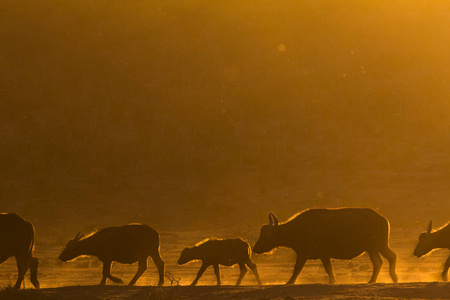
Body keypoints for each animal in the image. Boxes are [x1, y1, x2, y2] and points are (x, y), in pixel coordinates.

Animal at [253, 207, 398, 284]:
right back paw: (373, 280)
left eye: (267, 235)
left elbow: (298, 269)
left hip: (378, 246)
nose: (255, 248)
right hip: (372, 249)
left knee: (391, 257)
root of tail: (384, 219)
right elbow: (327, 269)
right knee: (379, 262)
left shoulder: (307, 255)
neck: (298, 229)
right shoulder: (318, 255)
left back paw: (393, 277)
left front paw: (289, 282)